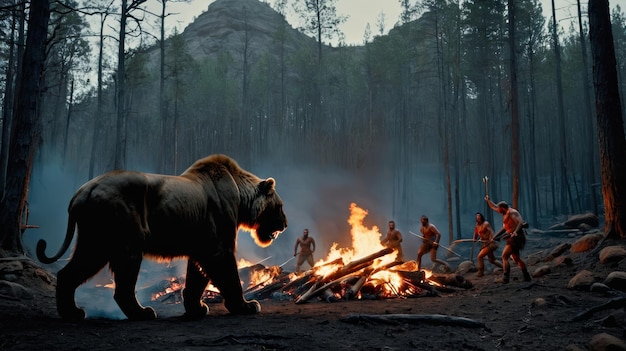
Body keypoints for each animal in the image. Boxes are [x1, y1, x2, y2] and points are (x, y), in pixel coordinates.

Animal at [36, 155, 286, 320]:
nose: (285, 224)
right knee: (123, 284)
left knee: (68, 273)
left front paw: (196, 308)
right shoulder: (218, 244)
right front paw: (246, 305)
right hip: (122, 236)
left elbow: (196, 278)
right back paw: (143, 312)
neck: (241, 199)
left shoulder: (202, 244)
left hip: (94, 239)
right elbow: (228, 276)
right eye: (280, 206)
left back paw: (72, 312)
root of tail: (82, 191)